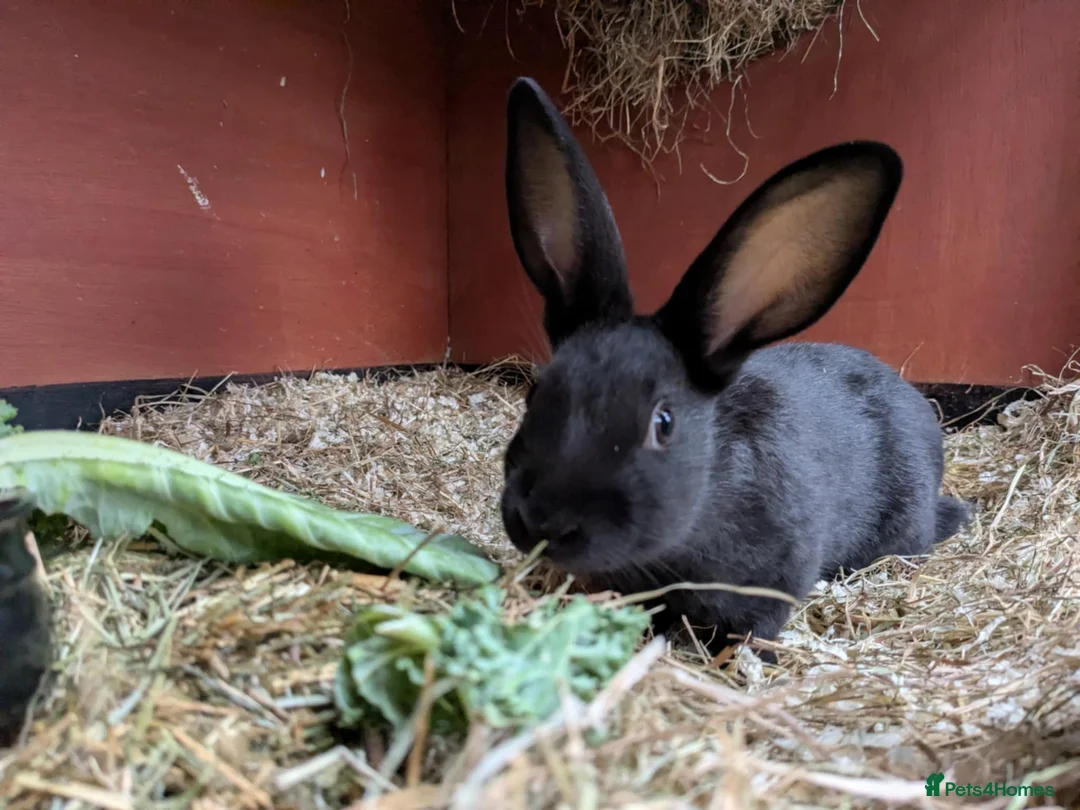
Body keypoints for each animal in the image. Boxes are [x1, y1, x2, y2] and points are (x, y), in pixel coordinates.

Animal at [498, 76, 972, 663]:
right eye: (534, 396)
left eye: (664, 423)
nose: (541, 522)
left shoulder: (774, 581)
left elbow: (757, 629)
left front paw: (748, 663)